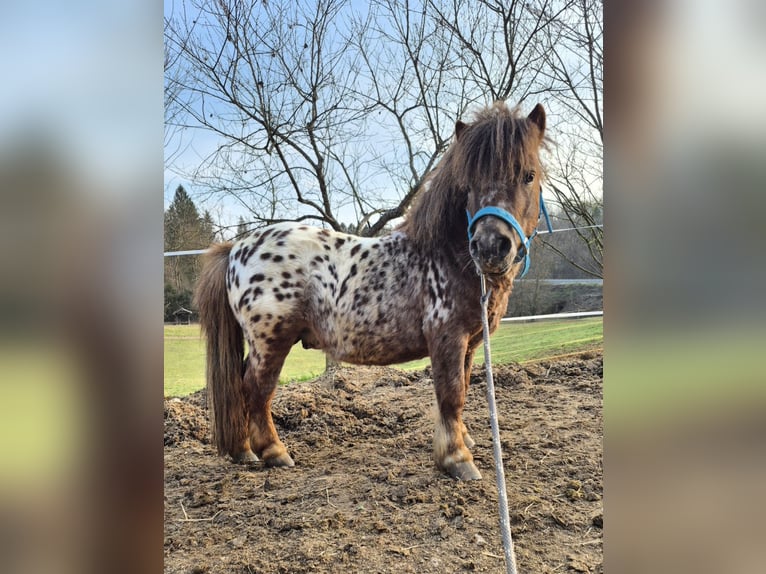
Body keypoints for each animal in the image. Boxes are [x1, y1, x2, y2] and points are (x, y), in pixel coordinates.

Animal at [195, 101, 549, 480]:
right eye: (468, 184)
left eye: (529, 175)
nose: (490, 247)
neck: (447, 255)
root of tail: (237, 248)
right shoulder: (447, 338)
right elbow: (451, 395)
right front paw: (456, 458)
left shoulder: (469, 342)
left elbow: (464, 388)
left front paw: (463, 440)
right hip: (270, 342)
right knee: (256, 390)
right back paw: (274, 452)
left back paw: (244, 450)